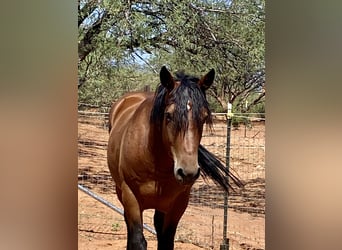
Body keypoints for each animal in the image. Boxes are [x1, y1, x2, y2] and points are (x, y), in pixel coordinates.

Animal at [107, 66, 243, 250]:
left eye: (204, 117)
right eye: (168, 115)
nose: (188, 172)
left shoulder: (178, 204)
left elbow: (166, 241)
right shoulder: (130, 197)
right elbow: (137, 240)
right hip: (121, 192)